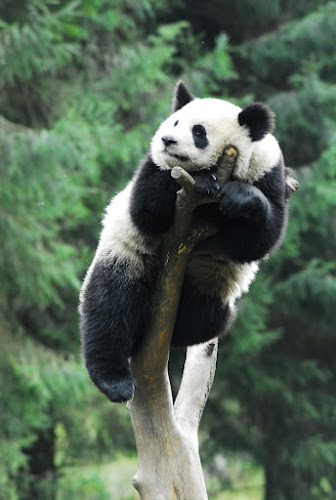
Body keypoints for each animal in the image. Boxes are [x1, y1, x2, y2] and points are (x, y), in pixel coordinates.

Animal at [79, 81, 292, 402]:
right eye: (176, 122)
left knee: (206, 317)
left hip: (207, 284)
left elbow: (255, 241)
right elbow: (147, 210)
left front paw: (238, 197)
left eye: (199, 132)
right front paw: (201, 179)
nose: (167, 140)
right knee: (111, 305)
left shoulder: (267, 174)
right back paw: (114, 380)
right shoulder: (152, 169)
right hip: (128, 254)